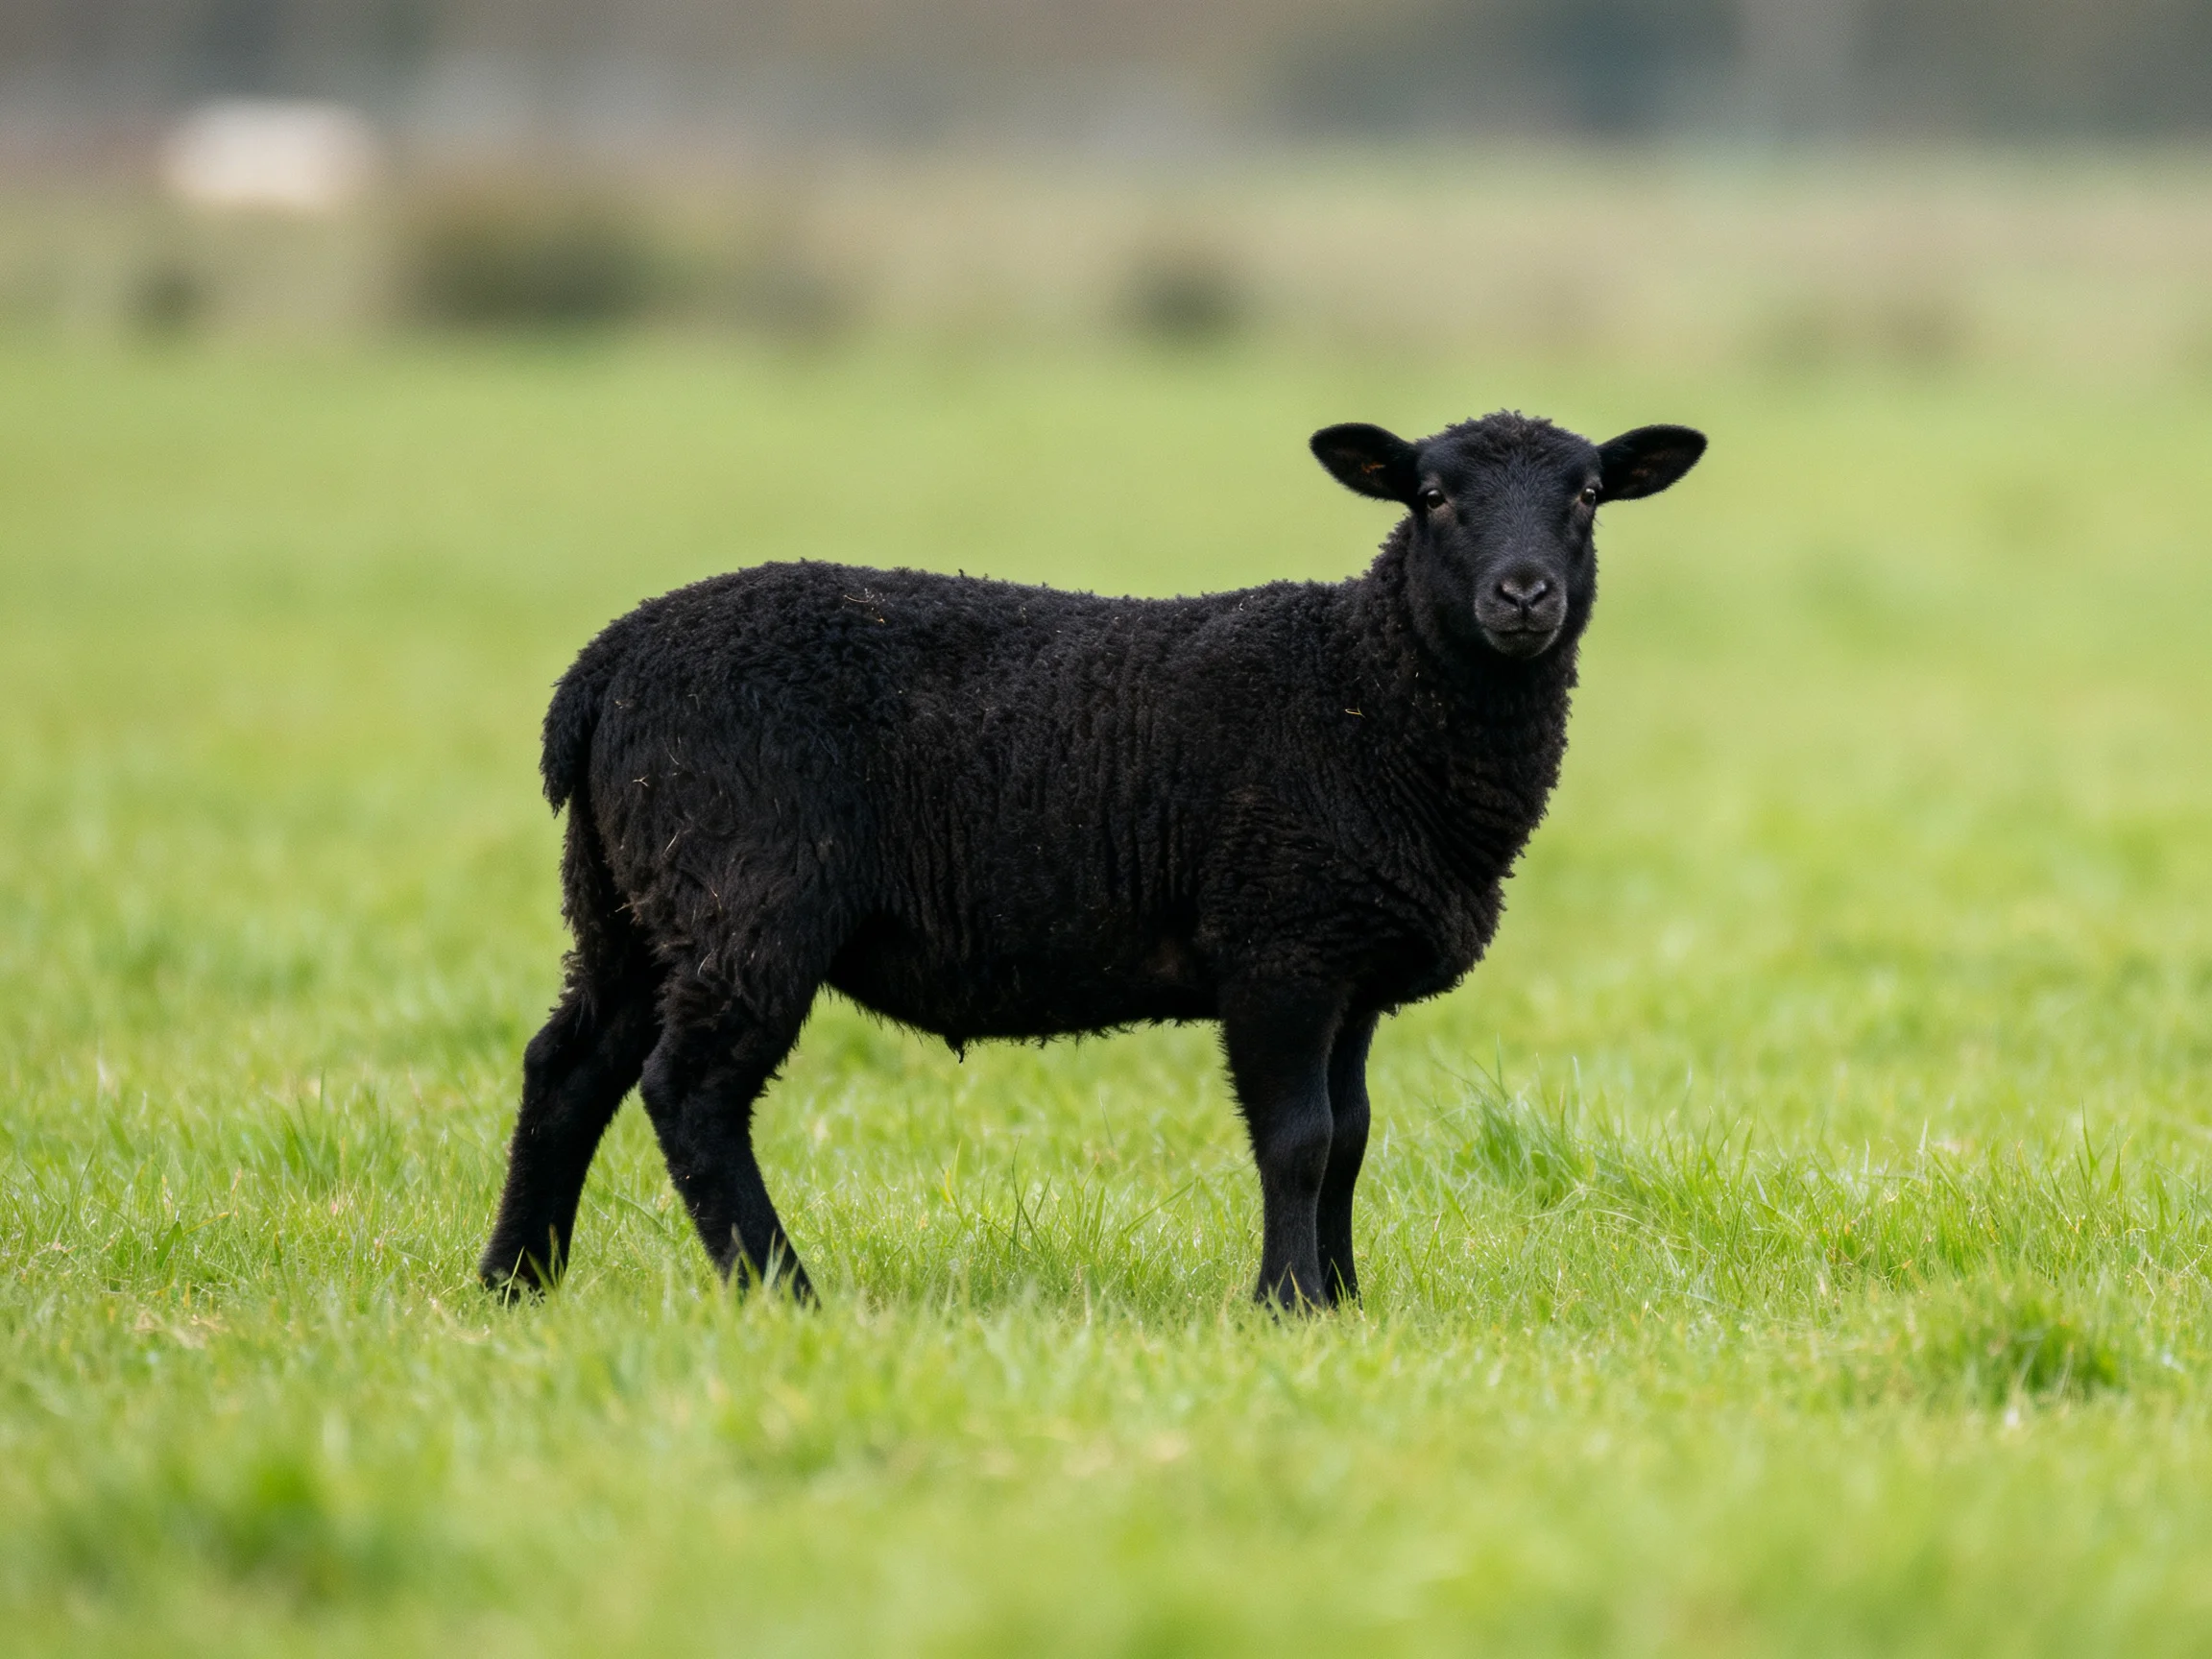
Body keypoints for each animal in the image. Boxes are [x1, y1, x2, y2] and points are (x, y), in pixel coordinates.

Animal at [479, 410, 1706, 1308]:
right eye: (1434, 496)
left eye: (1587, 496)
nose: (1523, 595)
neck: (1365, 688)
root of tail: (607, 663)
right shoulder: (1279, 946)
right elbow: (1300, 1141)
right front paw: (1288, 1305)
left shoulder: (1349, 968)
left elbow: (1353, 1139)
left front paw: (1347, 1302)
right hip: (747, 894)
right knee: (688, 1091)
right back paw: (781, 1293)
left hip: (628, 900)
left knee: (568, 1065)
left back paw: (516, 1285)